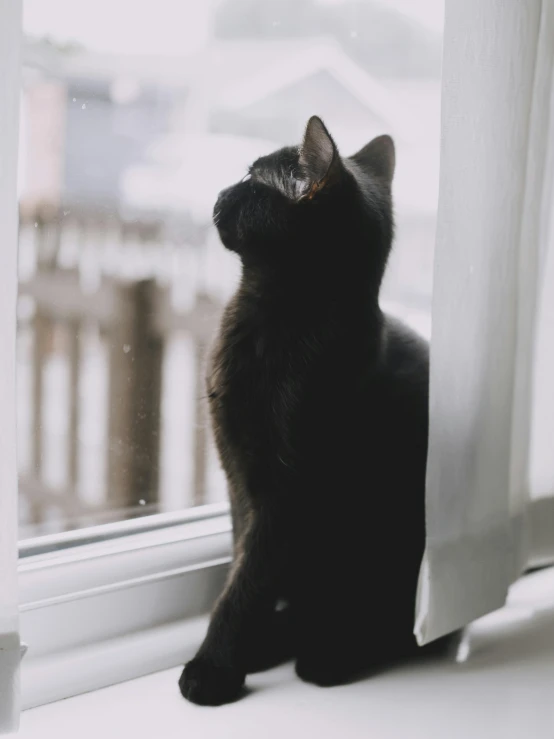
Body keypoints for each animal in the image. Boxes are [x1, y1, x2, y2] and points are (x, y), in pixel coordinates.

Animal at [180, 115, 440, 704]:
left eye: (253, 179)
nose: (219, 193)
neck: (272, 322)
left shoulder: (287, 493)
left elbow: (247, 580)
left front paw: (214, 666)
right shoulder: (238, 479)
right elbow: (242, 562)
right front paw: (246, 646)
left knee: (386, 624)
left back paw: (328, 654)